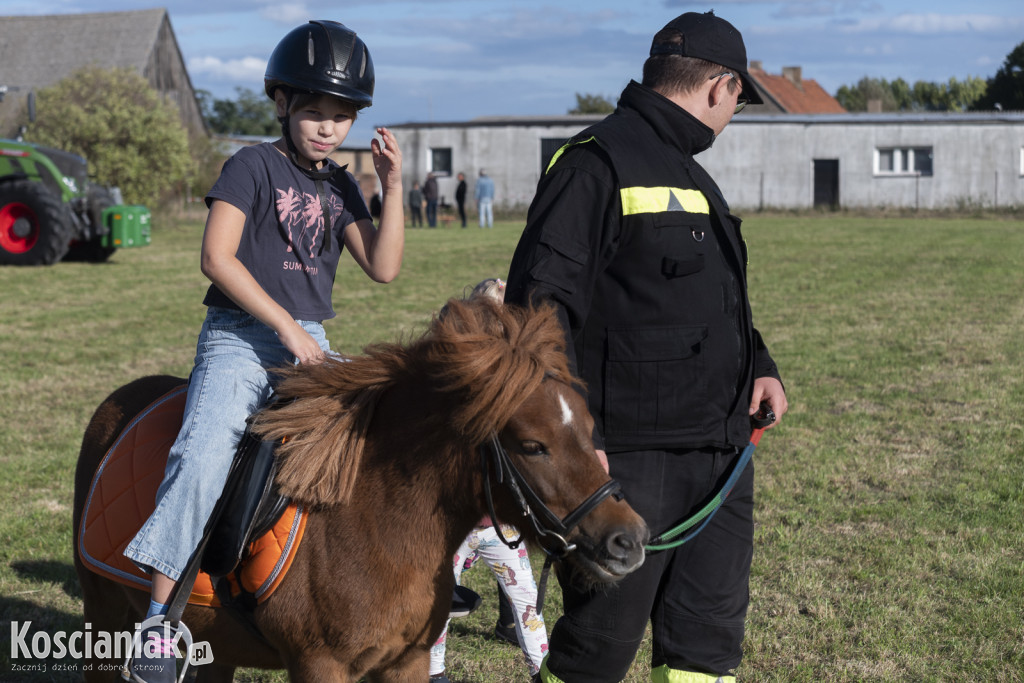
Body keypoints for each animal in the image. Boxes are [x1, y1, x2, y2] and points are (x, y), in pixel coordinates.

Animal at [74, 301, 647, 683]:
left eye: (590, 428)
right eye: (532, 446)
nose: (630, 540)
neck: (376, 523)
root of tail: (118, 402)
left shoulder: (406, 661)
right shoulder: (320, 666)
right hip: (103, 616)